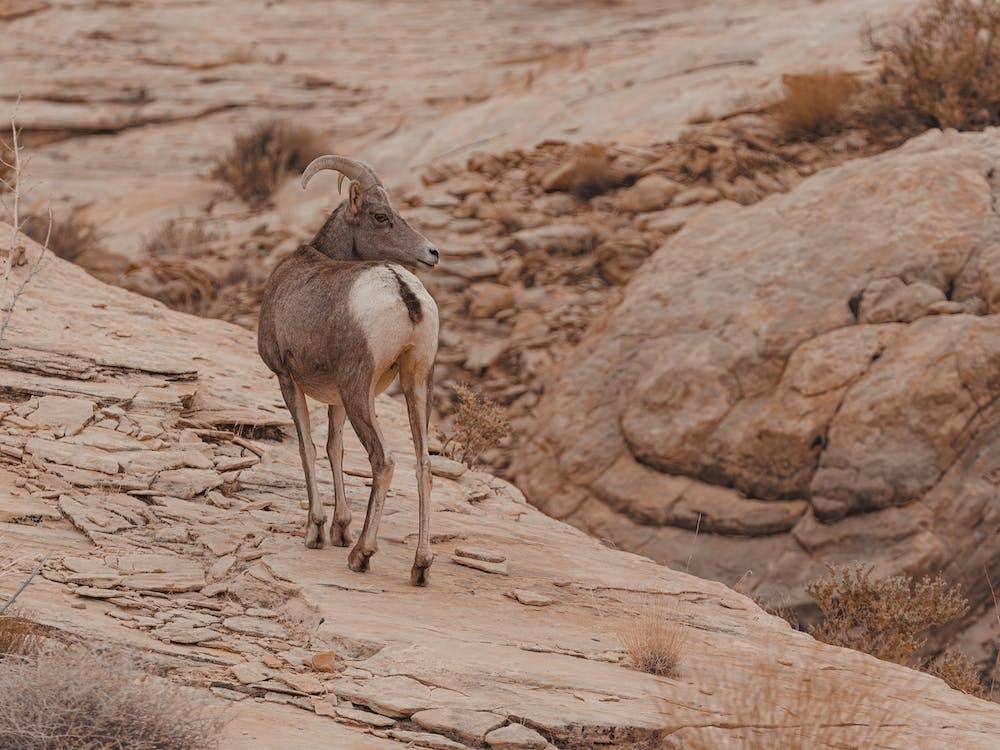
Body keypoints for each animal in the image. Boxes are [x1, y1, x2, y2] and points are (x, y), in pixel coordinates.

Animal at [257, 155, 440, 585]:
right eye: (381, 216)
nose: (432, 252)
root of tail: (402, 290)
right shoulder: (335, 396)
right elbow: (334, 448)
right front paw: (341, 528)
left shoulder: (287, 379)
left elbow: (307, 447)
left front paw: (317, 531)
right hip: (417, 382)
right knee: (423, 463)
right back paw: (420, 566)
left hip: (360, 390)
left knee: (383, 460)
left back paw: (362, 554)